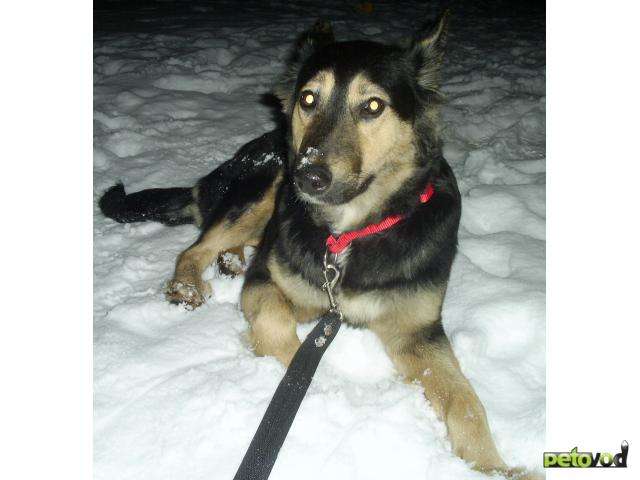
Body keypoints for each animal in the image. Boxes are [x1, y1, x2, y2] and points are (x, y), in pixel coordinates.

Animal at [99, 13, 536, 478]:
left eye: (373, 106)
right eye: (309, 99)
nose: (310, 177)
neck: (348, 233)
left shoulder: (417, 331)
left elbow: (464, 399)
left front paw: (494, 466)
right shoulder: (267, 281)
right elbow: (274, 319)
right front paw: (299, 373)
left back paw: (230, 261)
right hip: (267, 182)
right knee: (194, 249)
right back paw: (189, 284)